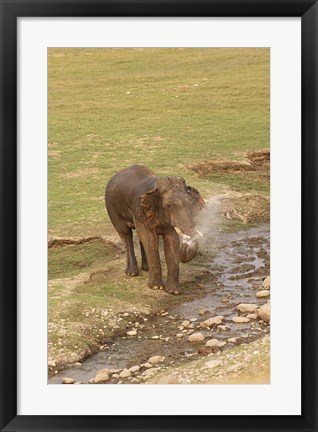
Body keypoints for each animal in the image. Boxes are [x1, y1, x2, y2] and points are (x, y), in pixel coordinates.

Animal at [105, 165, 205, 294]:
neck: (155, 186)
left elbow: (171, 240)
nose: (187, 242)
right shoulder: (140, 209)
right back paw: (132, 273)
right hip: (112, 208)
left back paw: (146, 269)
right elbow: (150, 238)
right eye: (169, 205)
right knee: (125, 233)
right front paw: (157, 287)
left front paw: (174, 292)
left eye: (190, 204)